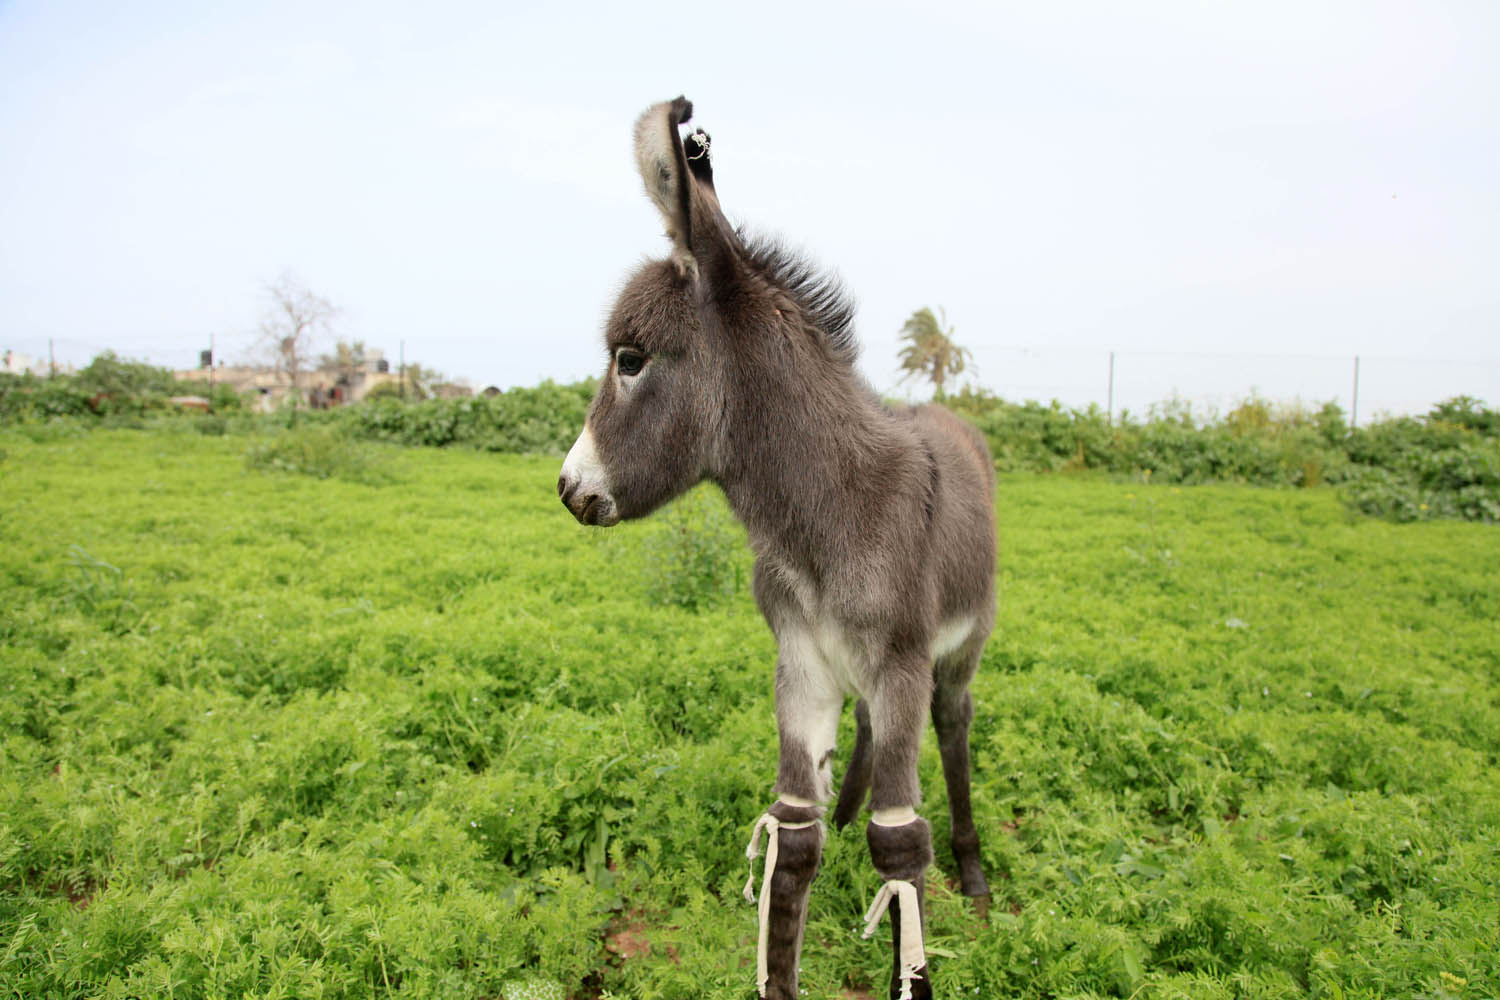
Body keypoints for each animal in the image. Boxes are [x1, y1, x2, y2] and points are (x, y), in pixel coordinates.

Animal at [558, 95, 990, 1000]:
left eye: (630, 359)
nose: (569, 489)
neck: (828, 519)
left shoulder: (901, 663)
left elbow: (903, 850)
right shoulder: (802, 663)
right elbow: (794, 841)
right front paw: (829, 828)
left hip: (960, 653)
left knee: (954, 725)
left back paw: (975, 878)